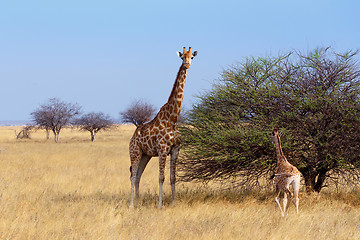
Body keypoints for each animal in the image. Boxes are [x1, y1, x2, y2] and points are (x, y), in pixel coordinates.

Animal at [129, 47, 197, 208]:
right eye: (182, 57)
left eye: (192, 57)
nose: (187, 64)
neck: (172, 119)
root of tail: (132, 139)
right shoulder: (162, 150)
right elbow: (161, 177)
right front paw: (160, 205)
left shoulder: (175, 150)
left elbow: (173, 178)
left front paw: (174, 202)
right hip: (135, 153)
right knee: (132, 176)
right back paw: (131, 204)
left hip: (145, 155)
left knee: (138, 176)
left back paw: (138, 202)